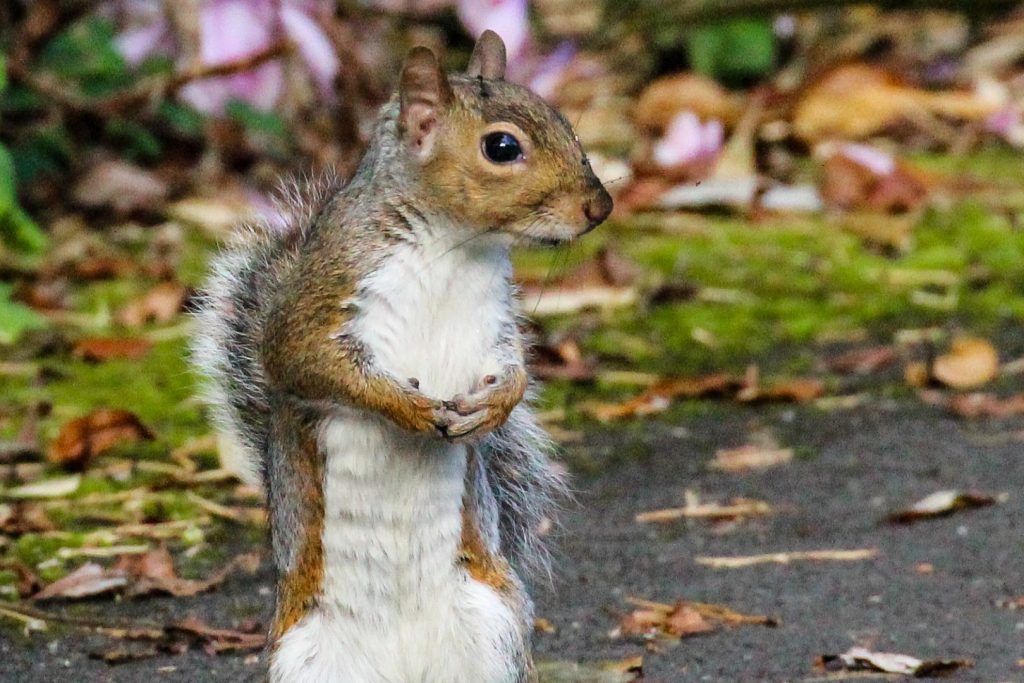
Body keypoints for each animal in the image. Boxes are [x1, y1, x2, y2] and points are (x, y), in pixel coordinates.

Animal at [190, 31, 606, 683]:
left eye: (565, 123)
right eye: (502, 146)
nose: (600, 206)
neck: (453, 245)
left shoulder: (496, 320)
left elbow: (515, 368)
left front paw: (495, 407)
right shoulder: (321, 300)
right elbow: (302, 360)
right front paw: (406, 408)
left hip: (493, 631)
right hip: (302, 657)